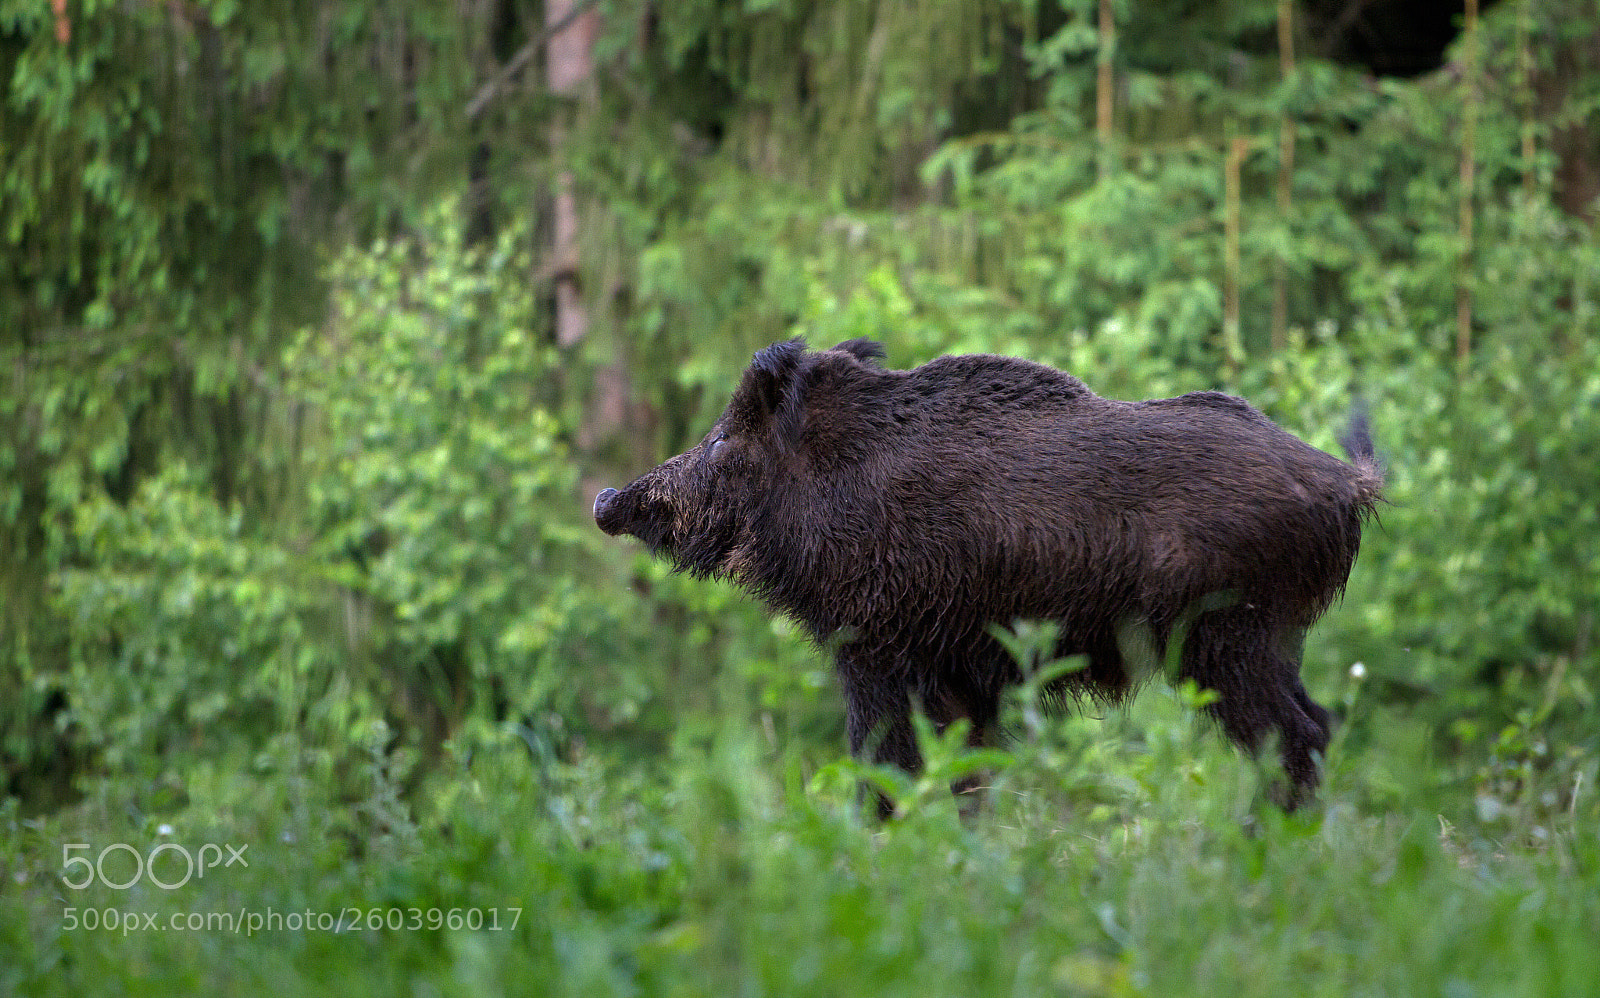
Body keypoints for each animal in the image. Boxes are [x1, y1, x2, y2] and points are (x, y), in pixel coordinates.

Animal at [593, 338, 1384, 813]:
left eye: (724, 438)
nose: (606, 501)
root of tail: (1346, 482)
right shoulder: (964, 670)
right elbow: (965, 769)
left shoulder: (875, 645)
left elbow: (884, 757)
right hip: (1272, 638)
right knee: (1316, 723)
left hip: (1227, 636)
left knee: (1293, 737)